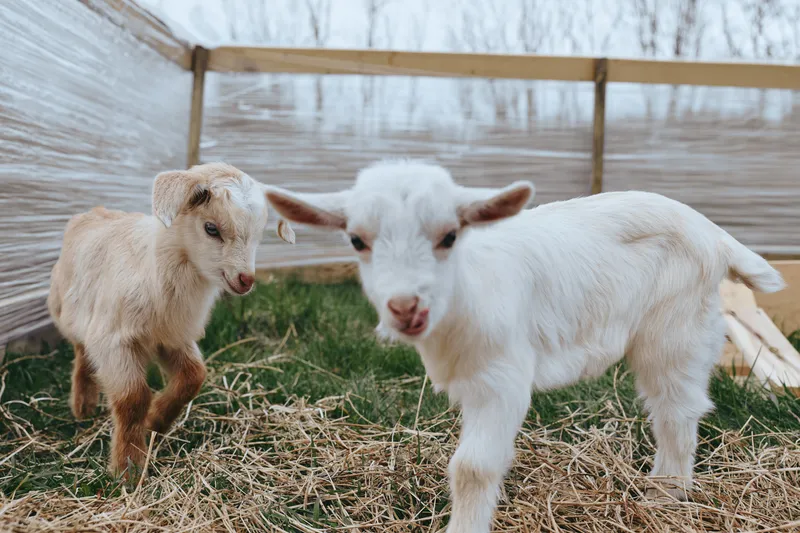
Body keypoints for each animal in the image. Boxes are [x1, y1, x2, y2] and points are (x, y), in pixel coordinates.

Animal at [48, 162, 294, 478]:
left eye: (259, 234)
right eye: (211, 228)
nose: (245, 280)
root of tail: (93, 211)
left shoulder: (172, 338)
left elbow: (193, 377)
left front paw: (156, 421)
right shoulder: (114, 340)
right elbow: (133, 398)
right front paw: (129, 466)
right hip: (68, 311)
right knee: (81, 352)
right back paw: (83, 404)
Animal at [264, 160, 785, 533]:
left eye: (450, 236)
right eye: (356, 240)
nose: (405, 306)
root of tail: (716, 235)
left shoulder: (503, 378)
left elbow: (473, 468)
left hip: (675, 329)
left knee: (676, 409)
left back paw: (662, 497)